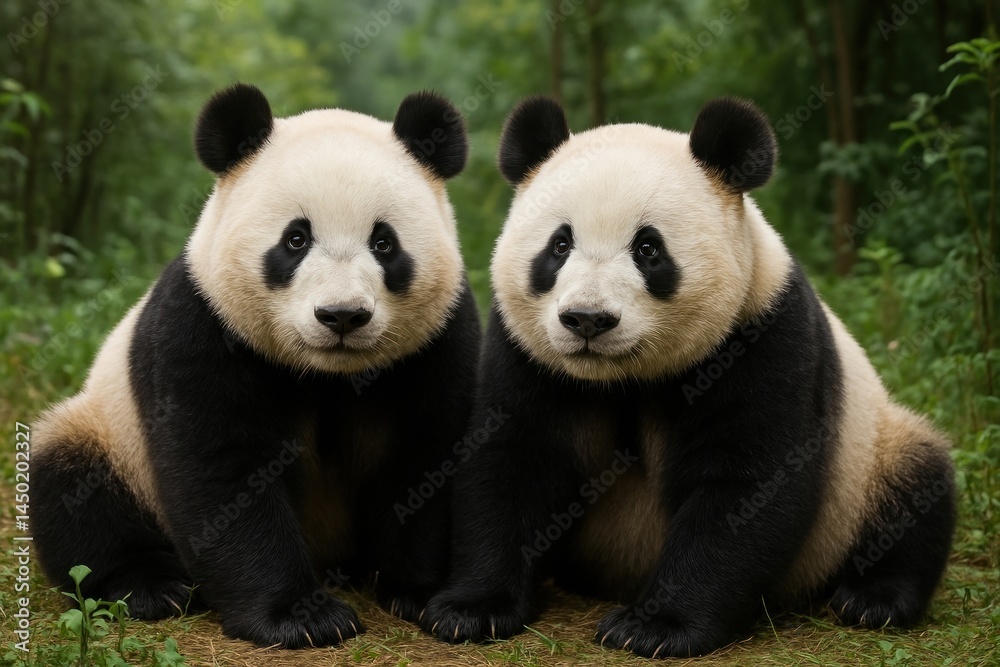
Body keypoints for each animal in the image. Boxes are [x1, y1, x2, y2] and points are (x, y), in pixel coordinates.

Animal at [31, 83, 481, 648]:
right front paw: (302, 617)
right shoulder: (203, 323)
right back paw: (150, 586)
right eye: (296, 239)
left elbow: (424, 457)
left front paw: (420, 593)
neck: (328, 375)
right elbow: (224, 469)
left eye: (384, 243)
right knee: (73, 486)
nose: (342, 316)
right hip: (110, 433)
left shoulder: (437, 341)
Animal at [421, 96, 956, 657]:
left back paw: (874, 598)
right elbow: (512, 460)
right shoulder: (528, 355)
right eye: (559, 245)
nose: (588, 319)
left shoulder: (761, 334)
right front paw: (471, 610)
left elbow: (745, 484)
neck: (622, 377)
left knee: (916, 481)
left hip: (867, 458)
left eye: (648, 249)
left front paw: (654, 626)